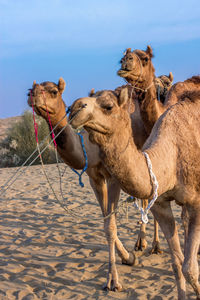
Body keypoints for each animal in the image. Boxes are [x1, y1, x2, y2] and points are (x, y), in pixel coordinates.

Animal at [69, 88, 200, 298]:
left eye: (108, 106)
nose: (74, 108)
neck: (171, 157)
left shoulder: (196, 201)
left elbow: (190, 269)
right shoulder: (161, 205)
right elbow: (178, 263)